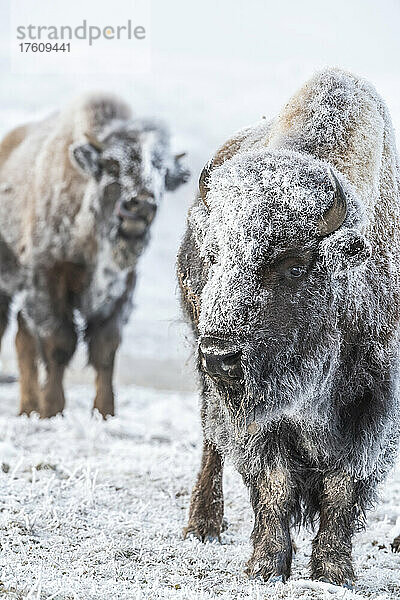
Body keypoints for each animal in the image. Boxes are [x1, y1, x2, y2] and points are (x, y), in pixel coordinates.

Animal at [0, 92, 190, 418]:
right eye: (112, 165)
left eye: (163, 174)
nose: (141, 205)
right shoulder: (48, 281)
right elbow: (59, 344)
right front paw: (53, 409)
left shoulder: (121, 290)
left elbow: (105, 348)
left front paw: (105, 412)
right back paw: (32, 408)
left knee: (22, 337)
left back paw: (28, 407)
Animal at [178, 67, 400, 584]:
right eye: (214, 258)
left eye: (294, 265)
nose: (220, 357)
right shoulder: (260, 418)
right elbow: (274, 485)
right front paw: (265, 566)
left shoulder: (372, 406)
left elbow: (343, 485)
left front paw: (333, 572)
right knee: (210, 444)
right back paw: (203, 525)